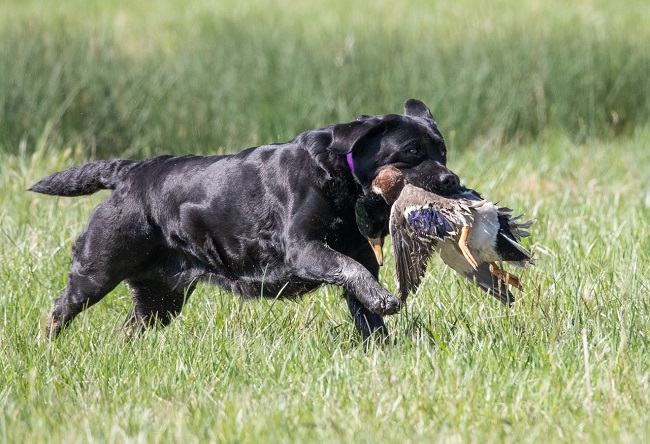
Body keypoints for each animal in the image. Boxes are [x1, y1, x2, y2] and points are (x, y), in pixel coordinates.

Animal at [29, 99, 456, 340]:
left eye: (443, 152)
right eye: (411, 151)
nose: (451, 180)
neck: (343, 180)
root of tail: (131, 173)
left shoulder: (362, 257)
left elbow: (365, 308)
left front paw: (382, 347)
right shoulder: (304, 248)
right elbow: (348, 269)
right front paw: (385, 299)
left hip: (159, 298)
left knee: (130, 330)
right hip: (97, 269)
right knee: (59, 310)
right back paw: (46, 348)